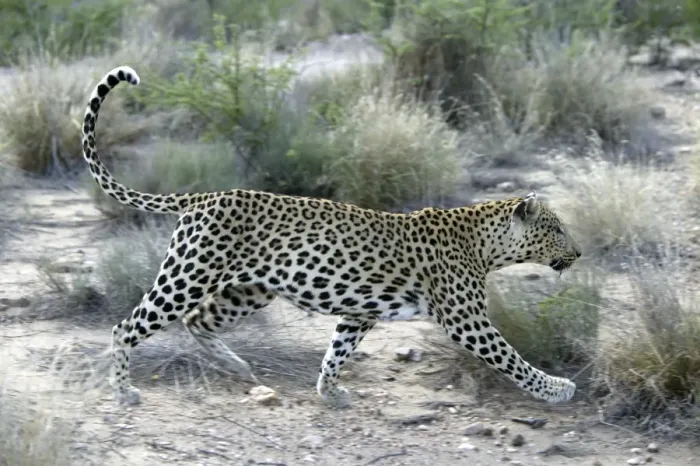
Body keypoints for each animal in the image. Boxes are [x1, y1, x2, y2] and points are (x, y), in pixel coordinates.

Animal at [82, 66, 583, 408]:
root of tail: (204, 195)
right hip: (188, 276)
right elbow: (512, 357)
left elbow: (336, 352)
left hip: (249, 290)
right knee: (126, 326)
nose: (578, 253)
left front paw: (329, 391)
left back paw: (237, 366)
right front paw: (556, 389)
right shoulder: (467, 320)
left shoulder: (358, 314)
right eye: (556, 228)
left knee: (197, 320)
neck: (484, 244)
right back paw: (123, 390)